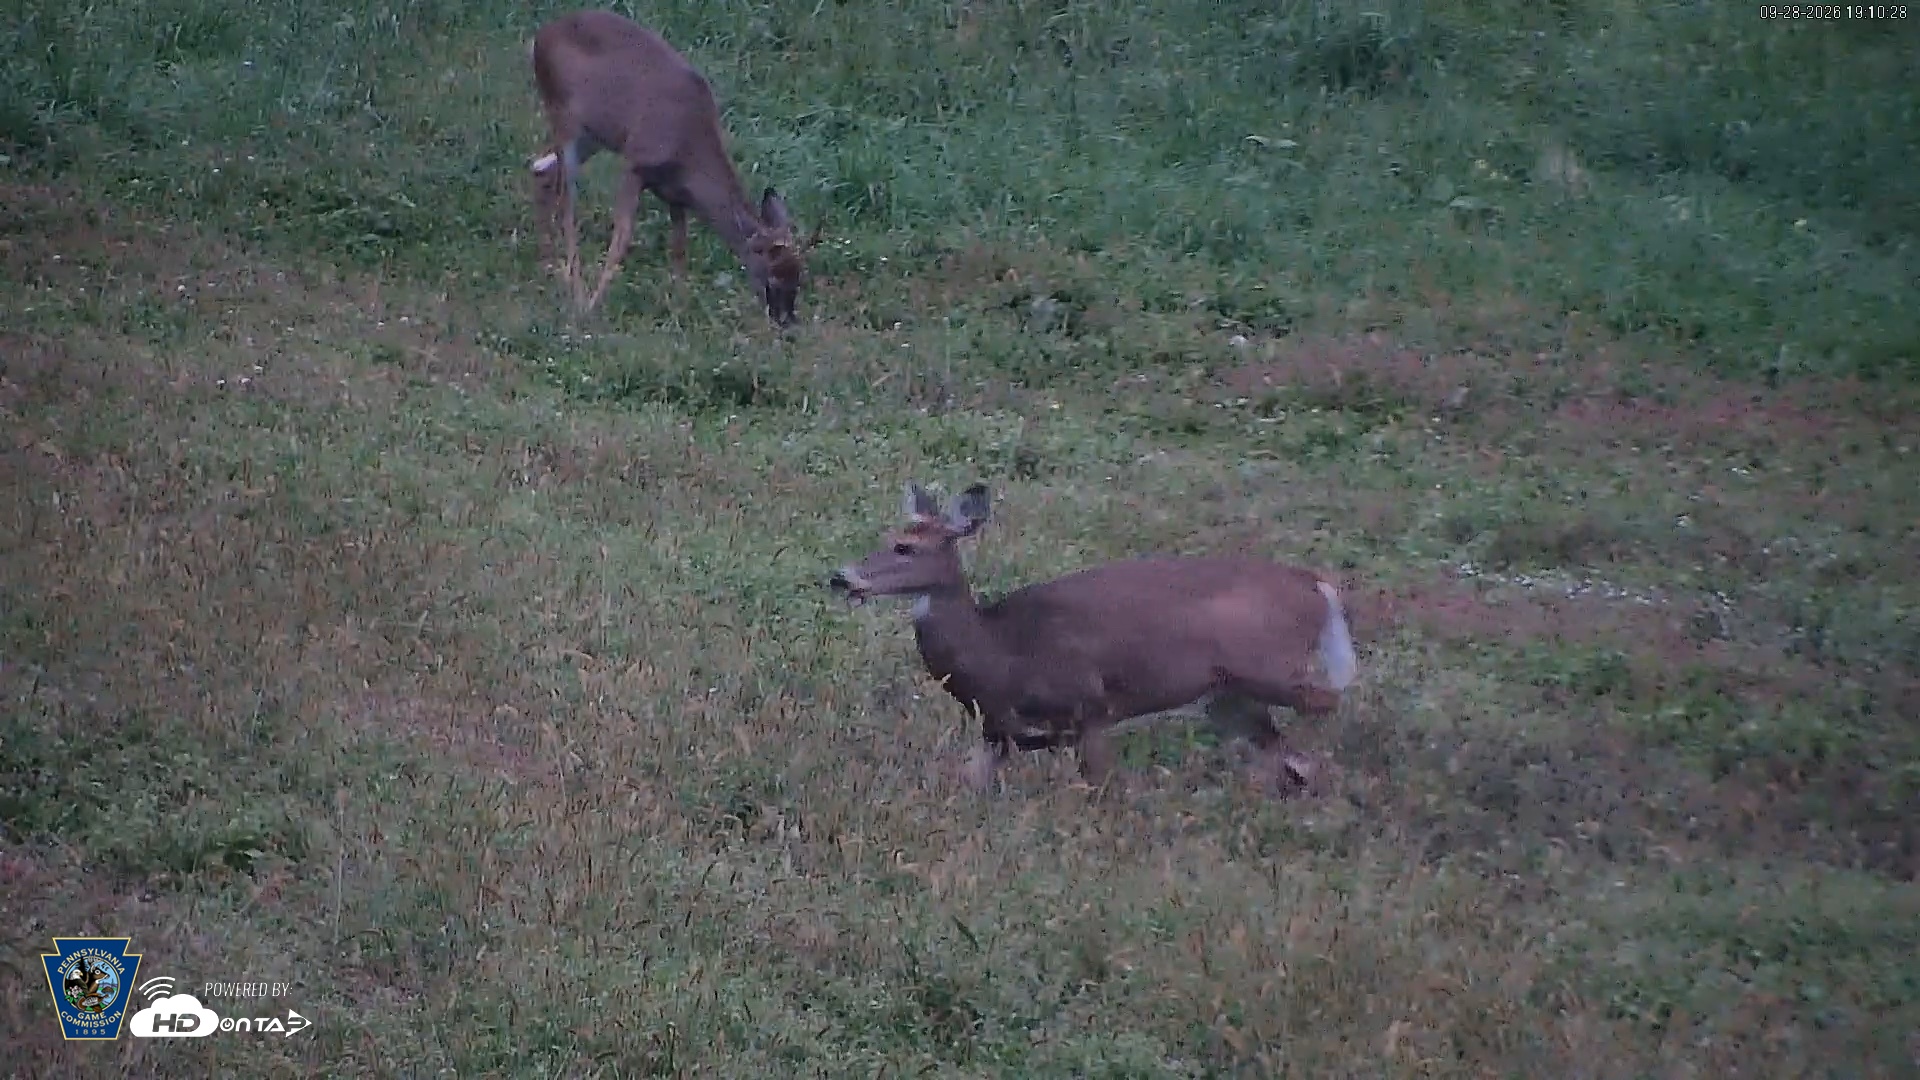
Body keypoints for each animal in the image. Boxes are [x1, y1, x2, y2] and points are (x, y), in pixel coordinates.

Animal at [528, 10, 811, 324]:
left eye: (799, 276)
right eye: (773, 276)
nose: (786, 321)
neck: (689, 152)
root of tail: (540, 36)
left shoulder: (675, 194)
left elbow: (678, 249)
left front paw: (680, 309)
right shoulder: (637, 163)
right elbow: (621, 240)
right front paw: (593, 306)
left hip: (592, 137)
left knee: (542, 172)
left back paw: (548, 266)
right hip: (564, 116)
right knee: (567, 203)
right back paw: (576, 294)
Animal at [828, 483, 1360, 794]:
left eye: (905, 547)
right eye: (886, 536)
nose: (840, 577)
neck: (1000, 650)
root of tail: (1318, 586)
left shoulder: (1089, 705)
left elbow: (1097, 785)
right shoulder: (995, 730)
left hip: (1267, 668)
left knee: (1329, 704)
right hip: (1227, 697)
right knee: (1288, 752)